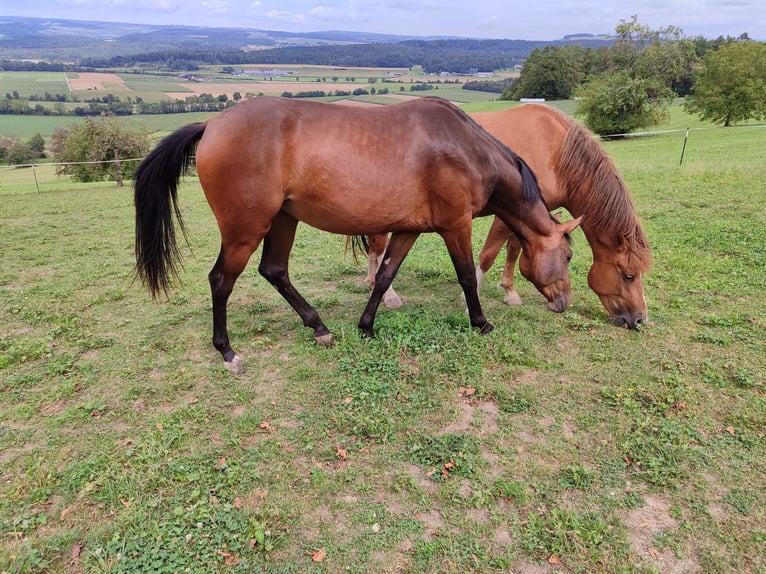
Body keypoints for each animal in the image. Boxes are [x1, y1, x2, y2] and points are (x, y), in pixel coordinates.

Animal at [136, 97, 584, 376]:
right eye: (568, 257)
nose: (562, 303)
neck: (466, 149)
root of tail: (212, 123)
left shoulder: (408, 229)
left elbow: (384, 276)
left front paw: (366, 326)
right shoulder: (456, 225)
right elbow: (465, 276)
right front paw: (481, 322)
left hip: (282, 221)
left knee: (275, 270)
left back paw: (319, 328)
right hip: (244, 230)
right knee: (221, 281)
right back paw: (228, 352)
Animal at [368, 103, 656, 328]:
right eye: (628, 275)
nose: (640, 319)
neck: (555, 152)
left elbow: (514, 251)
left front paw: (509, 292)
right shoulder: (506, 214)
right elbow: (489, 254)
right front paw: (469, 302)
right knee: (379, 249)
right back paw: (388, 295)